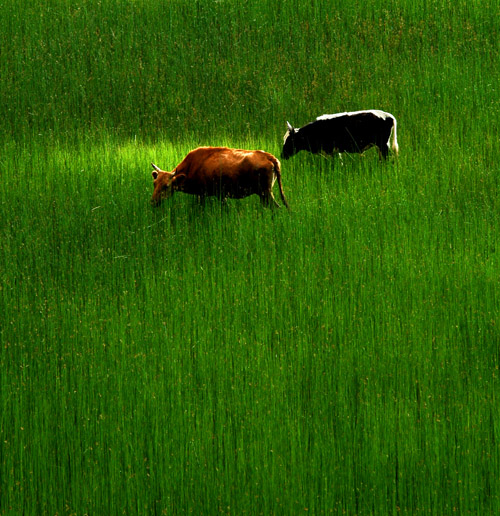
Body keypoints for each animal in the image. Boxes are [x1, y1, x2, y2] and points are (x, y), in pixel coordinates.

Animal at [150, 146, 290, 209]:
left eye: (166, 186)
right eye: (154, 183)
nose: (153, 201)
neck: (190, 168)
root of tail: (271, 157)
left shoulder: (204, 194)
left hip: (266, 192)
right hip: (263, 194)